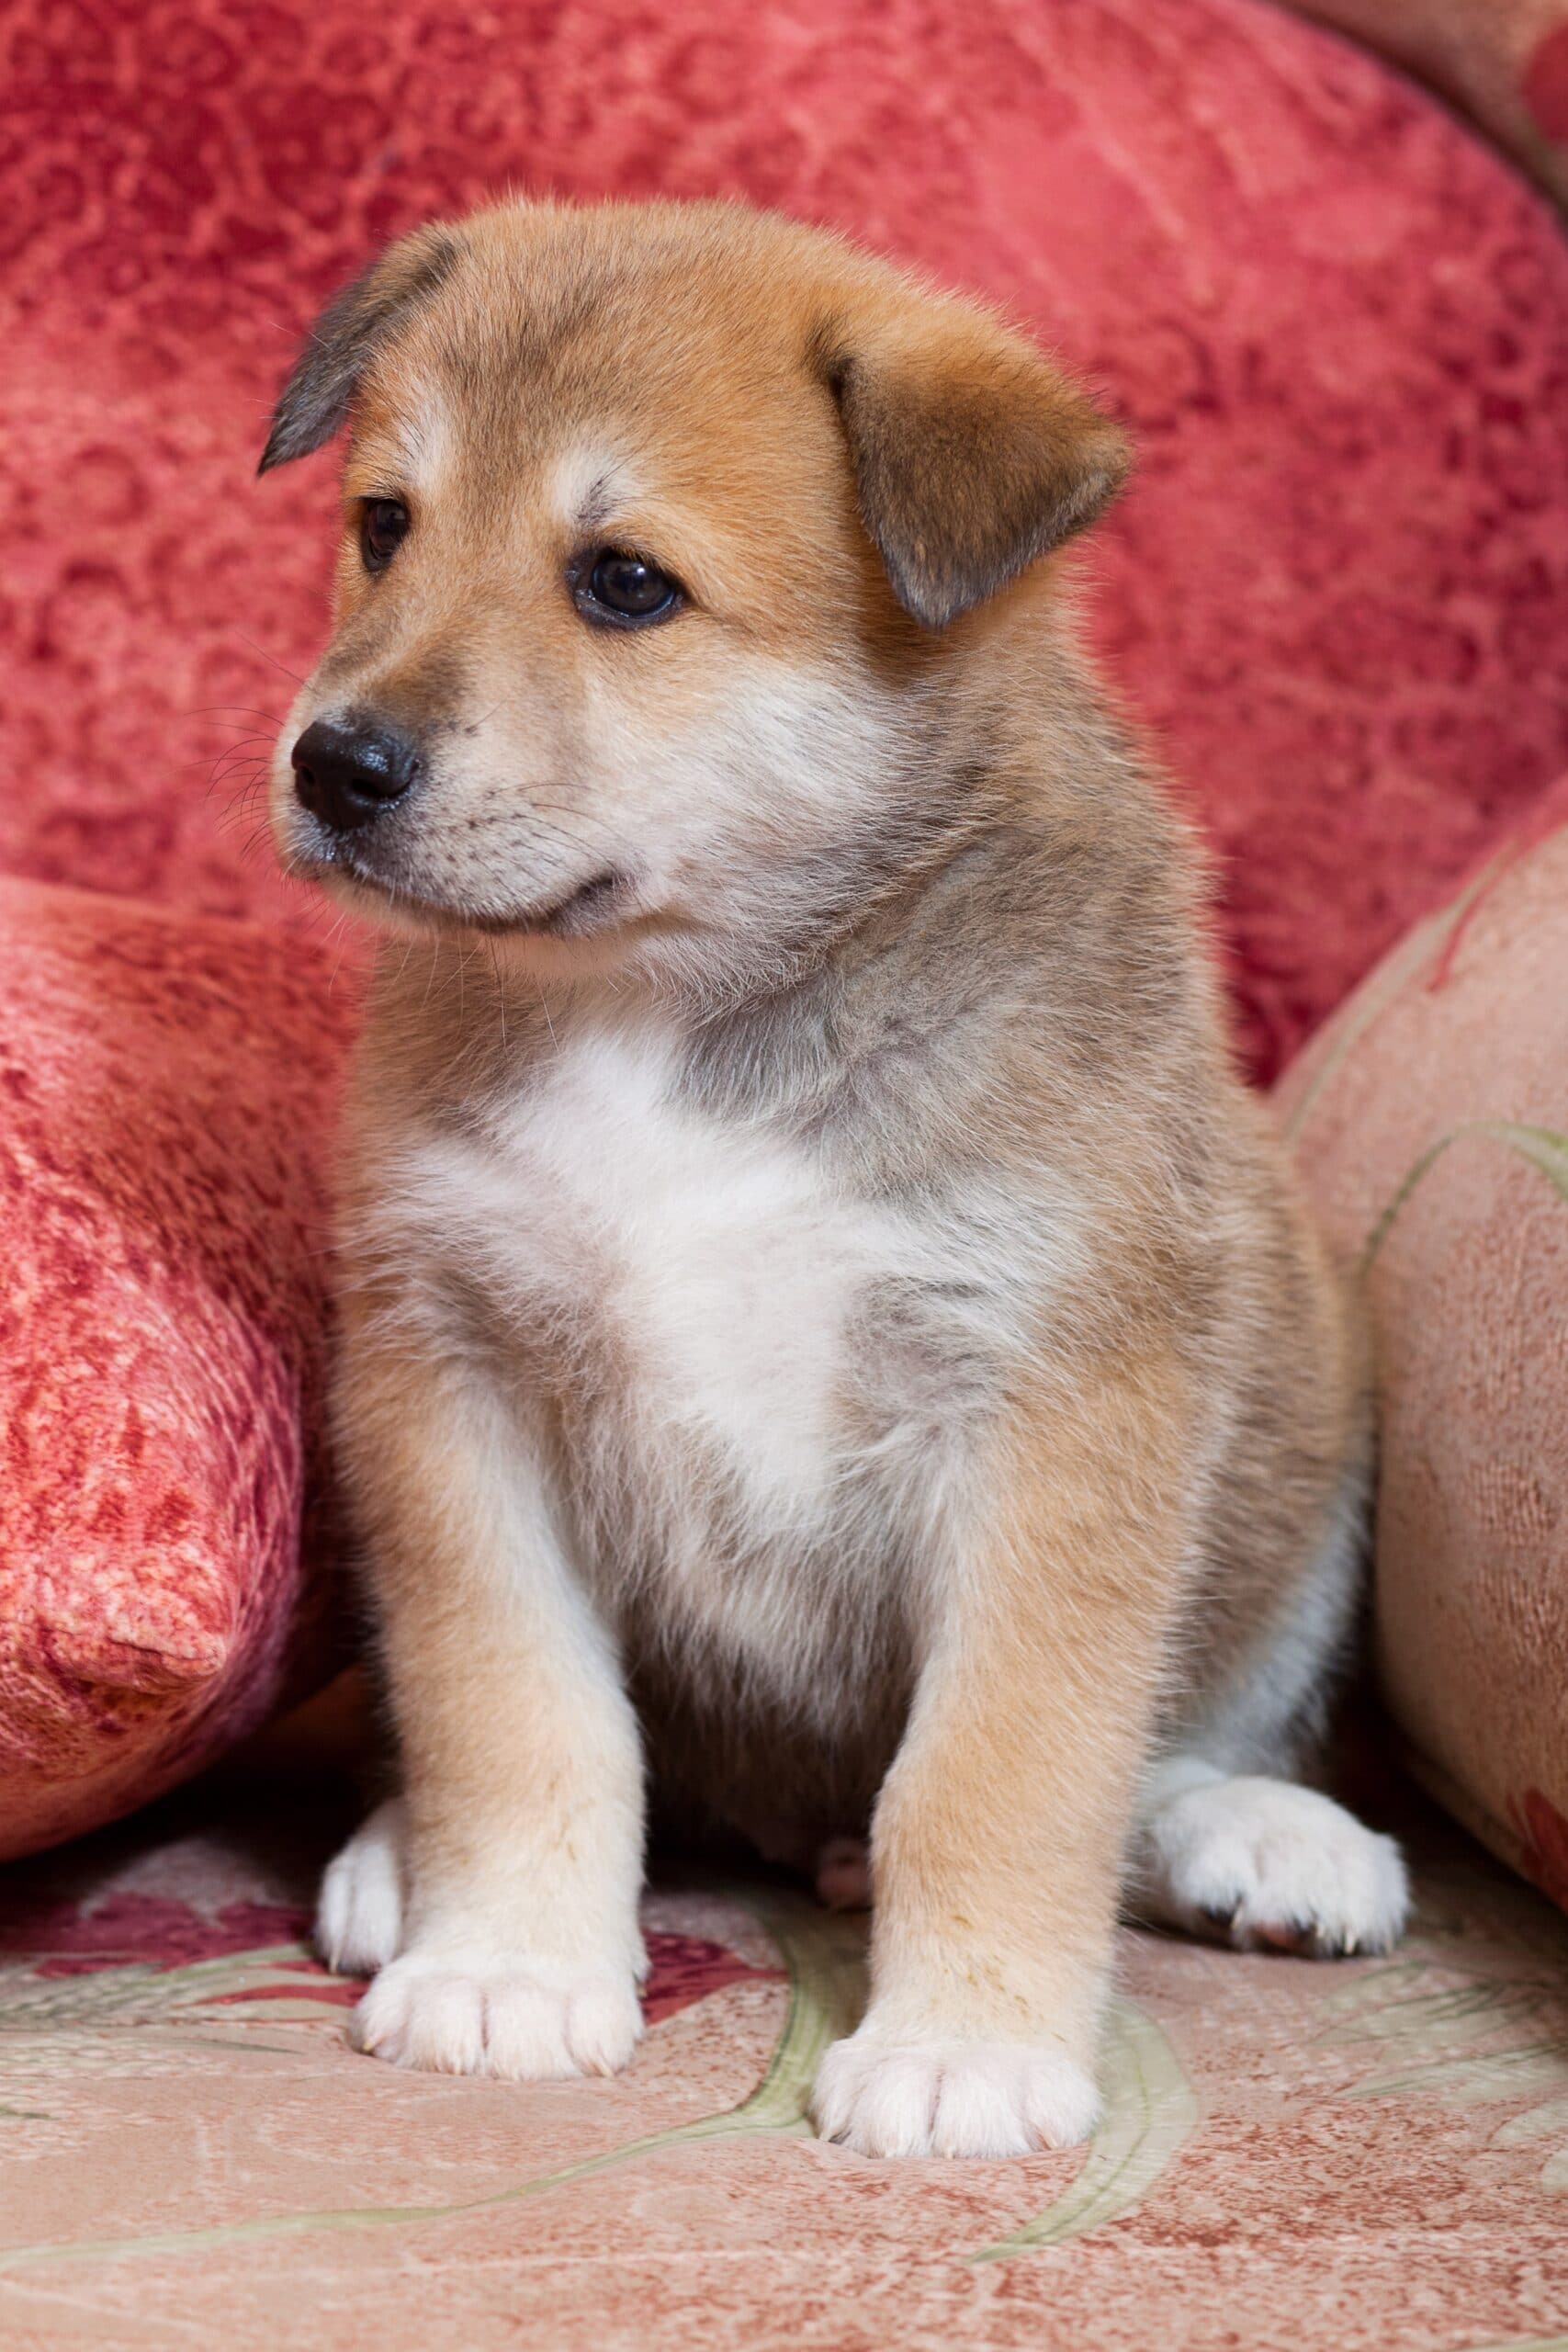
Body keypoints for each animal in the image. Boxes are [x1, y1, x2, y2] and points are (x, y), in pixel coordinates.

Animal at [261, 207, 1410, 2164]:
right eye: (387, 525)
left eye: (625, 584)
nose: (334, 766)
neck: (672, 1016)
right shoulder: (450, 1381)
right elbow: (516, 1710)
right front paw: (504, 1963)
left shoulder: (1046, 1418)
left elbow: (998, 1770)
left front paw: (966, 2048)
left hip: (1304, 1471)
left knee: (1186, 1738)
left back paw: (1259, 1837)